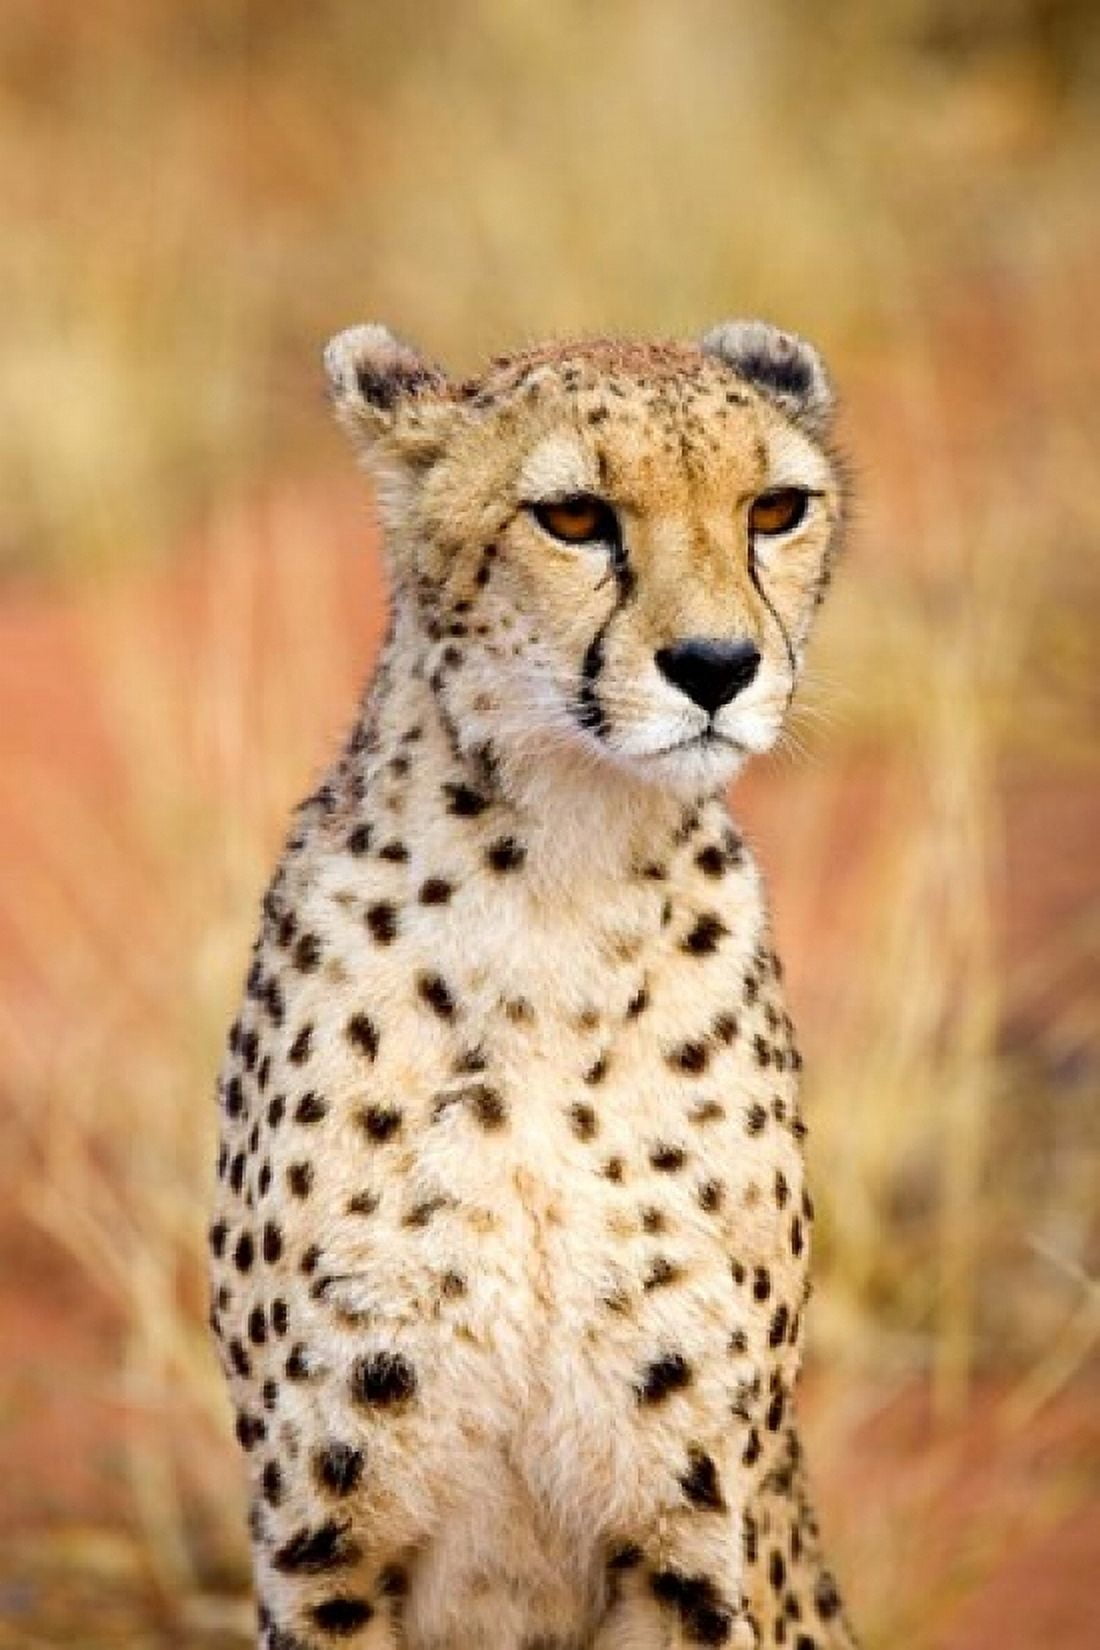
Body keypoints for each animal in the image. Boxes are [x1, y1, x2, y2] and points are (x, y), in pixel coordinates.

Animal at [208, 316, 859, 1650]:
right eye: (572, 519)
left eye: (773, 508)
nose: (715, 665)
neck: (559, 876)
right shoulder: (324, 1542)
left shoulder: (684, 1544)